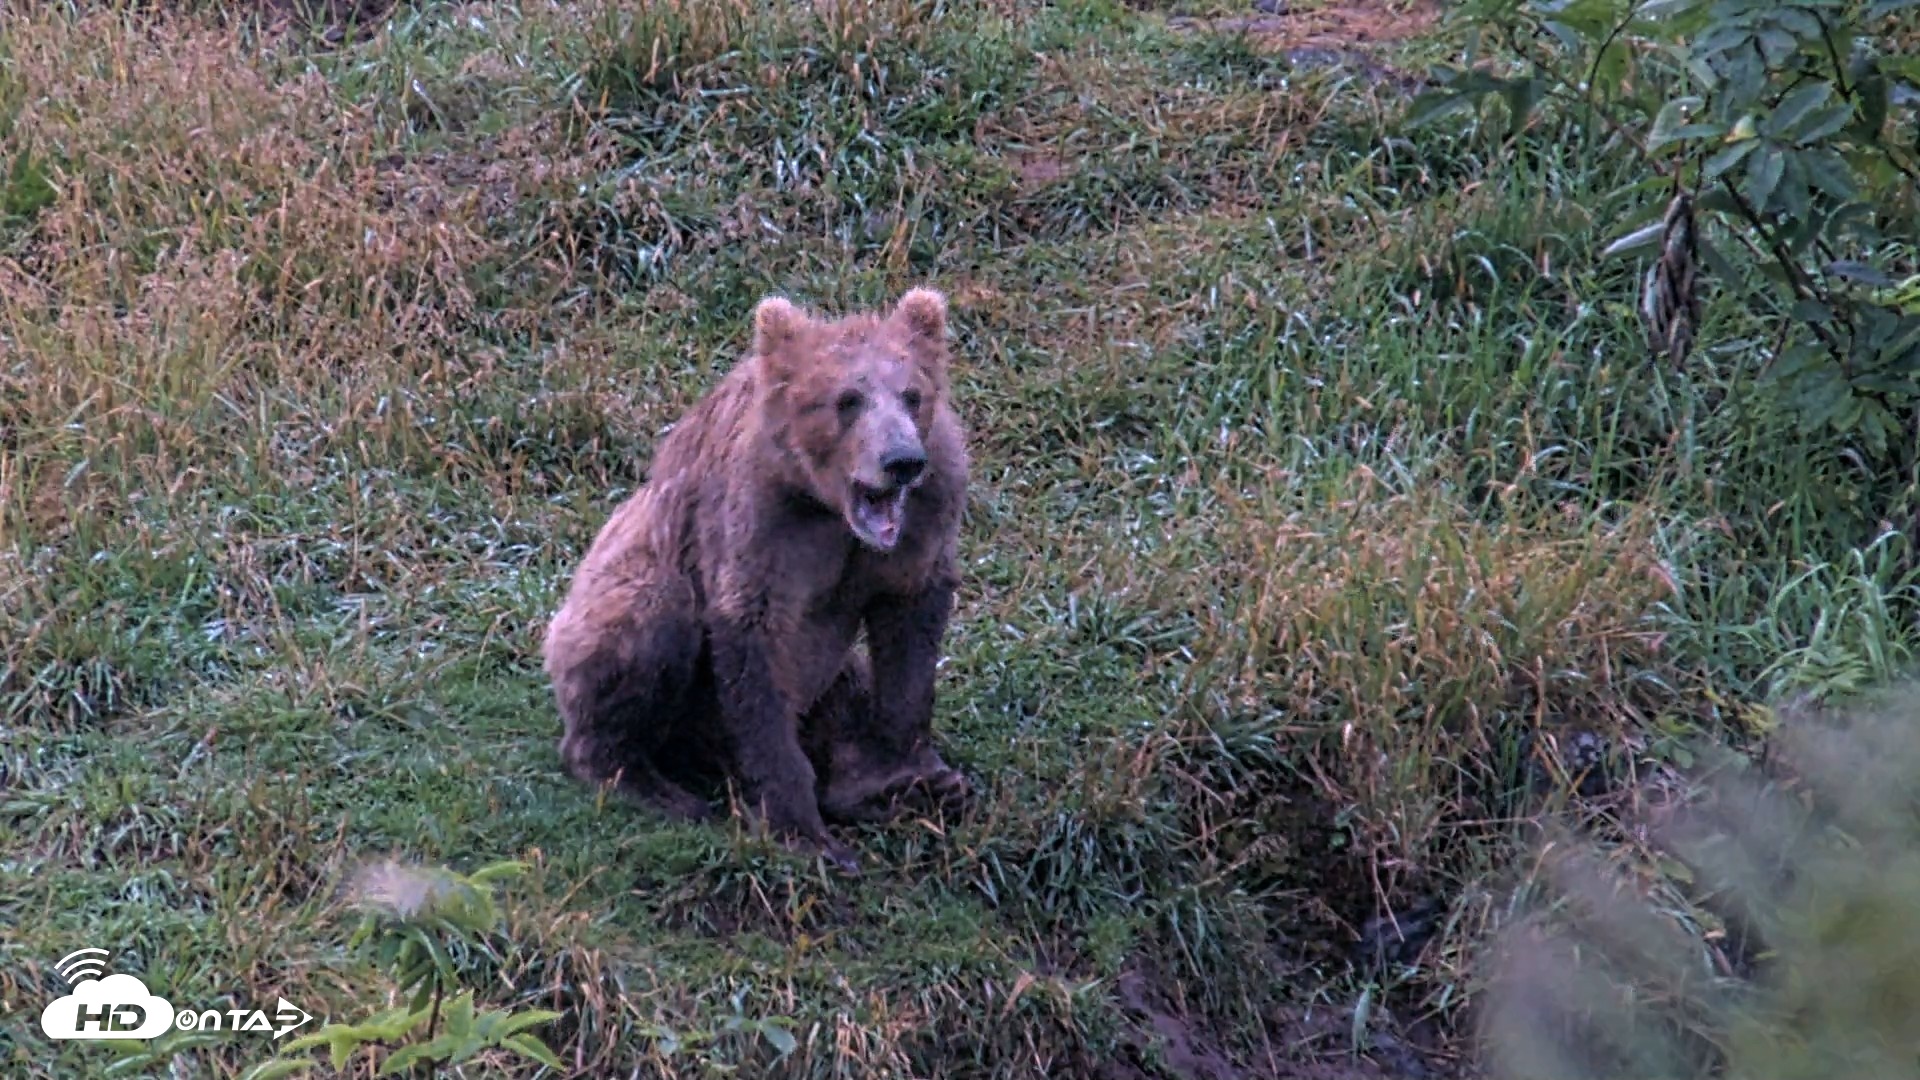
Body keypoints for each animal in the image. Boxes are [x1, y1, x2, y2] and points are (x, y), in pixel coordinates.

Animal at [542, 286, 972, 874]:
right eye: (847, 399)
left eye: (912, 394)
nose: (900, 460)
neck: (828, 508)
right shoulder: (761, 526)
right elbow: (756, 652)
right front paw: (803, 831)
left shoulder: (927, 513)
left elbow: (909, 638)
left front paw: (911, 775)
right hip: (616, 599)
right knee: (649, 621)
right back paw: (653, 785)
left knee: (845, 695)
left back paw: (869, 786)